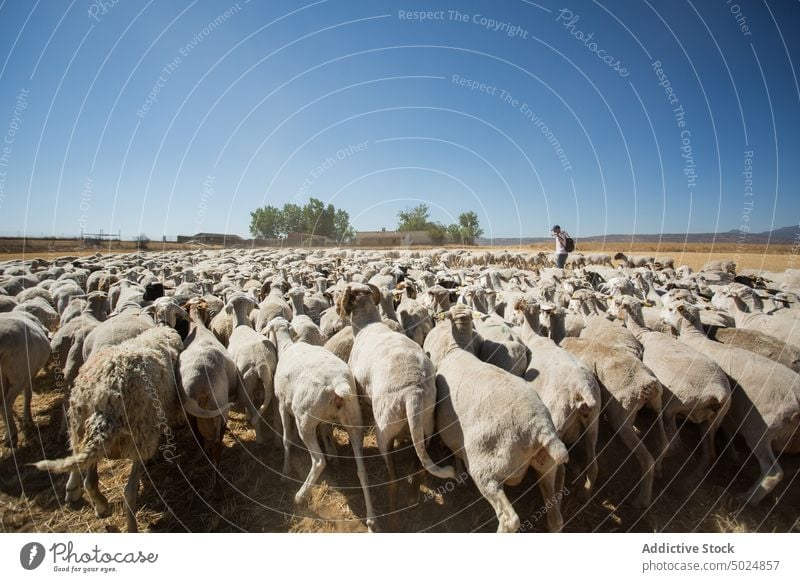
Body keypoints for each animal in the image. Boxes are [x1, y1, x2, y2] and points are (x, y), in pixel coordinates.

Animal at [0, 314, 51, 448]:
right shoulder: (29, 375)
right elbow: (28, 394)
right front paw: (27, 419)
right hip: (18, 375)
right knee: (6, 404)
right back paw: (12, 435)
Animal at [33, 328, 184, 532]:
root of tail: (105, 402)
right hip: (139, 436)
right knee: (129, 491)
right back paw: (131, 526)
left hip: (82, 429)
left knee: (89, 479)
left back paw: (100, 506)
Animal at [264, 318, 374, 532]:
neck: (287, 346)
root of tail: (338, 384)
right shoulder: (324, 420)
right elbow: (327, 435)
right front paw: (334, 457)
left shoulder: (282, 405)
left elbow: (286, 439)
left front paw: (285, 471)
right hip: (354, 420)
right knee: (362, 471)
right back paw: (372, 518)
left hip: (305, 421)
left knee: (318, 461)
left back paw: (300, 495)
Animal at [336, 282, 454, 516]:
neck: (367, 324)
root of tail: (413, 393)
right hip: (425, 427)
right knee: (418, 469)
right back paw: (414, 498)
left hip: (384, 431)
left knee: (394, 480)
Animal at [432, 306, 568, 532]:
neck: (458, 349)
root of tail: (541, 426)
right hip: (546, 464)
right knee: (556, 518)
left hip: (487, 469)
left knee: (509, 518)